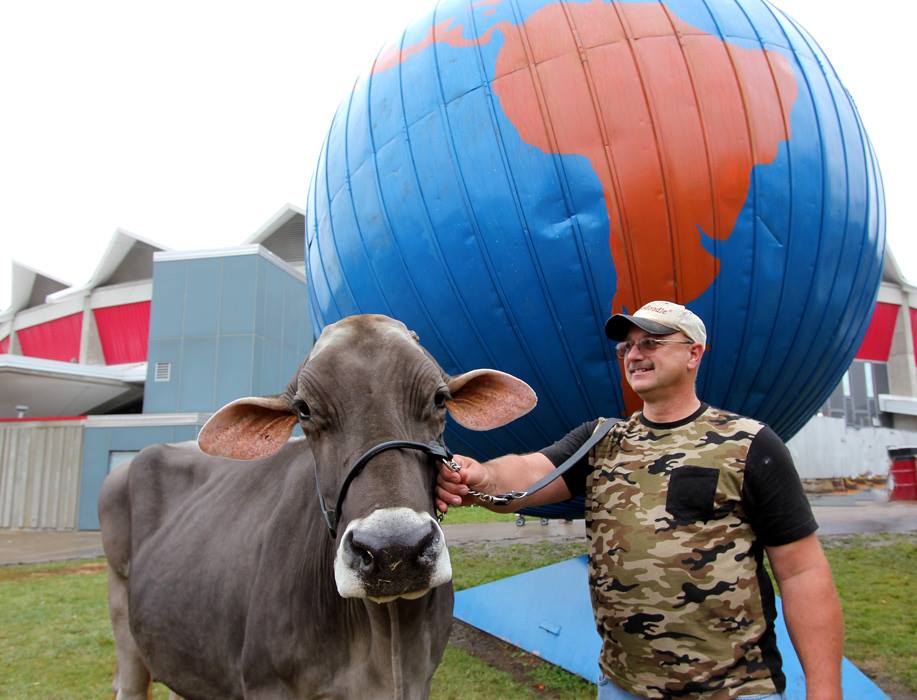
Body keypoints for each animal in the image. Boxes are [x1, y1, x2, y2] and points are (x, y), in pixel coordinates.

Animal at [98, 314, 537, 699]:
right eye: (304, 409)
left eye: (440, 398)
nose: (393, 550)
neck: (388, 642)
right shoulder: (266, 683)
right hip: (121, 609)